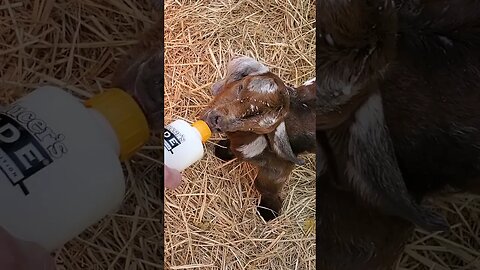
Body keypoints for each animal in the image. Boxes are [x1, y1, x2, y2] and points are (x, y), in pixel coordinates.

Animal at [201, 56, 316, 220]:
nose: (215, 120)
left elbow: (263, 186)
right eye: (240, 87)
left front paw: (269, 211)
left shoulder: (279, 169)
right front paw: (222, 150)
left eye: (253, 122)